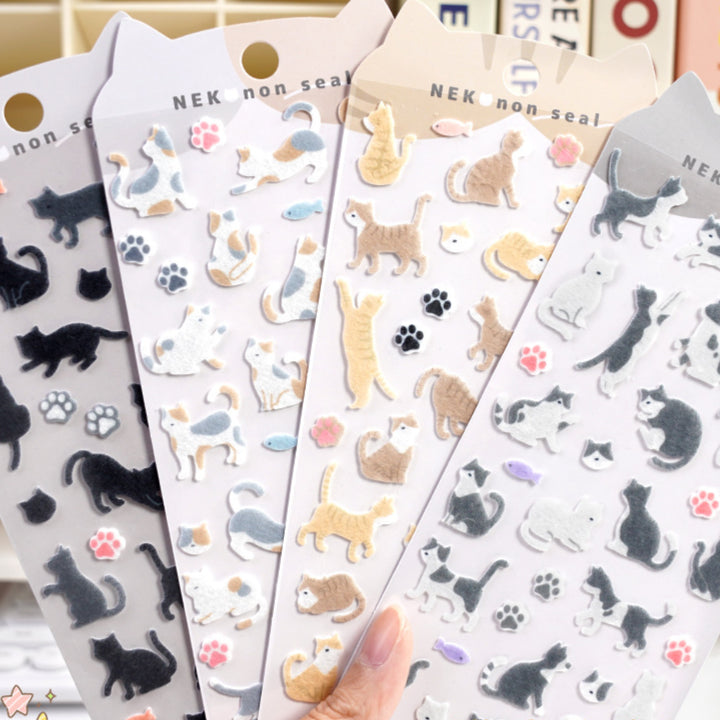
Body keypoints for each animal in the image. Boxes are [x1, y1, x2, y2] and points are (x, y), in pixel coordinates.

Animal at [336, 277, 396, 409]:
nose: (363, 291)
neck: (366, 314)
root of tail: (374, 365)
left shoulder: (348, 308)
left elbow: (346, 295)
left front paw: (341, 281)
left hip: (355, 380)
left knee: (364, 397)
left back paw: (353, 406)